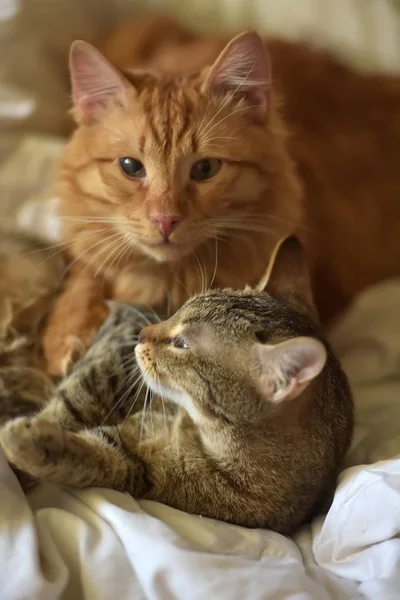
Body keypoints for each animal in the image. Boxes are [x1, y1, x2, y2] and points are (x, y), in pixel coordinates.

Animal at [0, 234, 352, 536]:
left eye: (181, 344)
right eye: (179, 310)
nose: (143, 333)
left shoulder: (139, 470)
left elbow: (90, 458)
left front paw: (25, 445)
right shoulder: (114, 352)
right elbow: (72, 402)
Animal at [42, 16, 398, 376]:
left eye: (205, 169)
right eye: (131, 167)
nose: (165, 220)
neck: (171, 277)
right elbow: (86, 273)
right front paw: (70, 332)